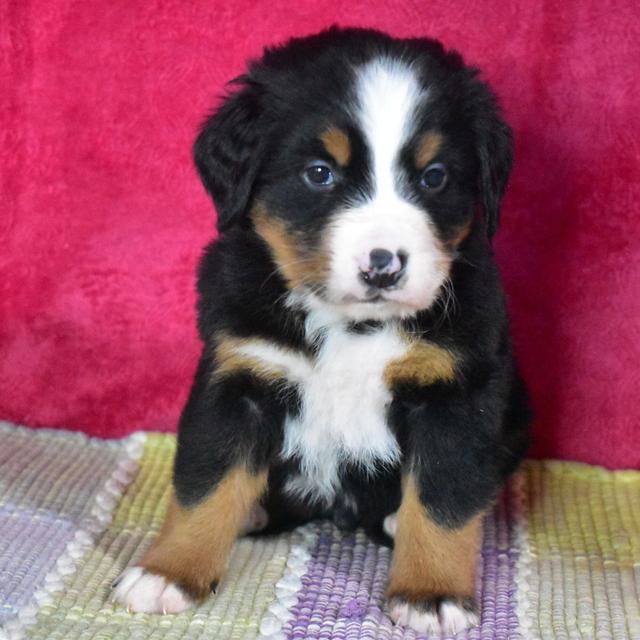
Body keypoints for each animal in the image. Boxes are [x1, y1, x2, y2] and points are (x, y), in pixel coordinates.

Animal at [114, 28, 528, 636]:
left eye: (434, 177)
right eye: (319, 173)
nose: (383, 265)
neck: (349, 324)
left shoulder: (456, 395)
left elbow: (444, 501)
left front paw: (430, 593)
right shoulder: (239, 378)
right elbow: (204, 485)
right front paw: (169, 572)